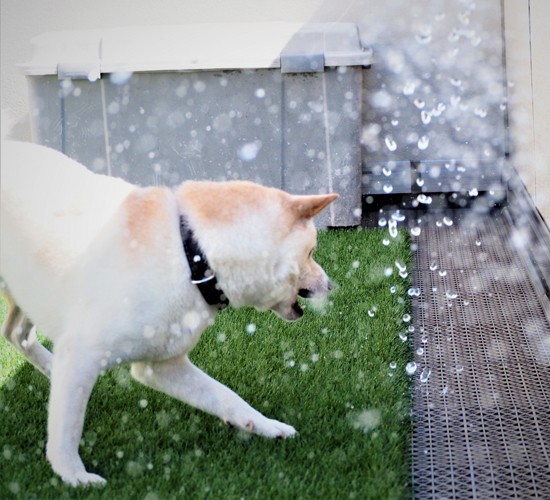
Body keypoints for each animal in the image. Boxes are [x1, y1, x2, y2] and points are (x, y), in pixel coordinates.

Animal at [0, 139, 338, 486]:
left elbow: (226, 396)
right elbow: (67, 428)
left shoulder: (162, 366)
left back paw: (52, 370)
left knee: (16, 334)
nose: (330, 285)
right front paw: (72, 475)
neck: (192, 256)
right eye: (311, 252)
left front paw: (263, 425)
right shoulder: (82, 351)